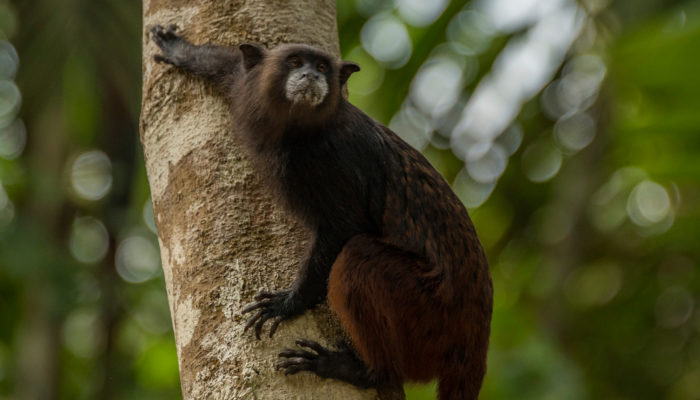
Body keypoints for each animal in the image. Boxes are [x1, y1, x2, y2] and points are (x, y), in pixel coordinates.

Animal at [152, 24, 492, 396]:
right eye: (295, 62)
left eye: (321, 67)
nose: (310, 76)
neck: (294, 132)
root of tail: (475, 338)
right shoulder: (247, 87)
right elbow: (228, 65)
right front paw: (179, 50)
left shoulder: (331, 160)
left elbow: (345, 227)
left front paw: (290, 303)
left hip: (431, 314)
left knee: (359, 258)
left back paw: (366, 372)